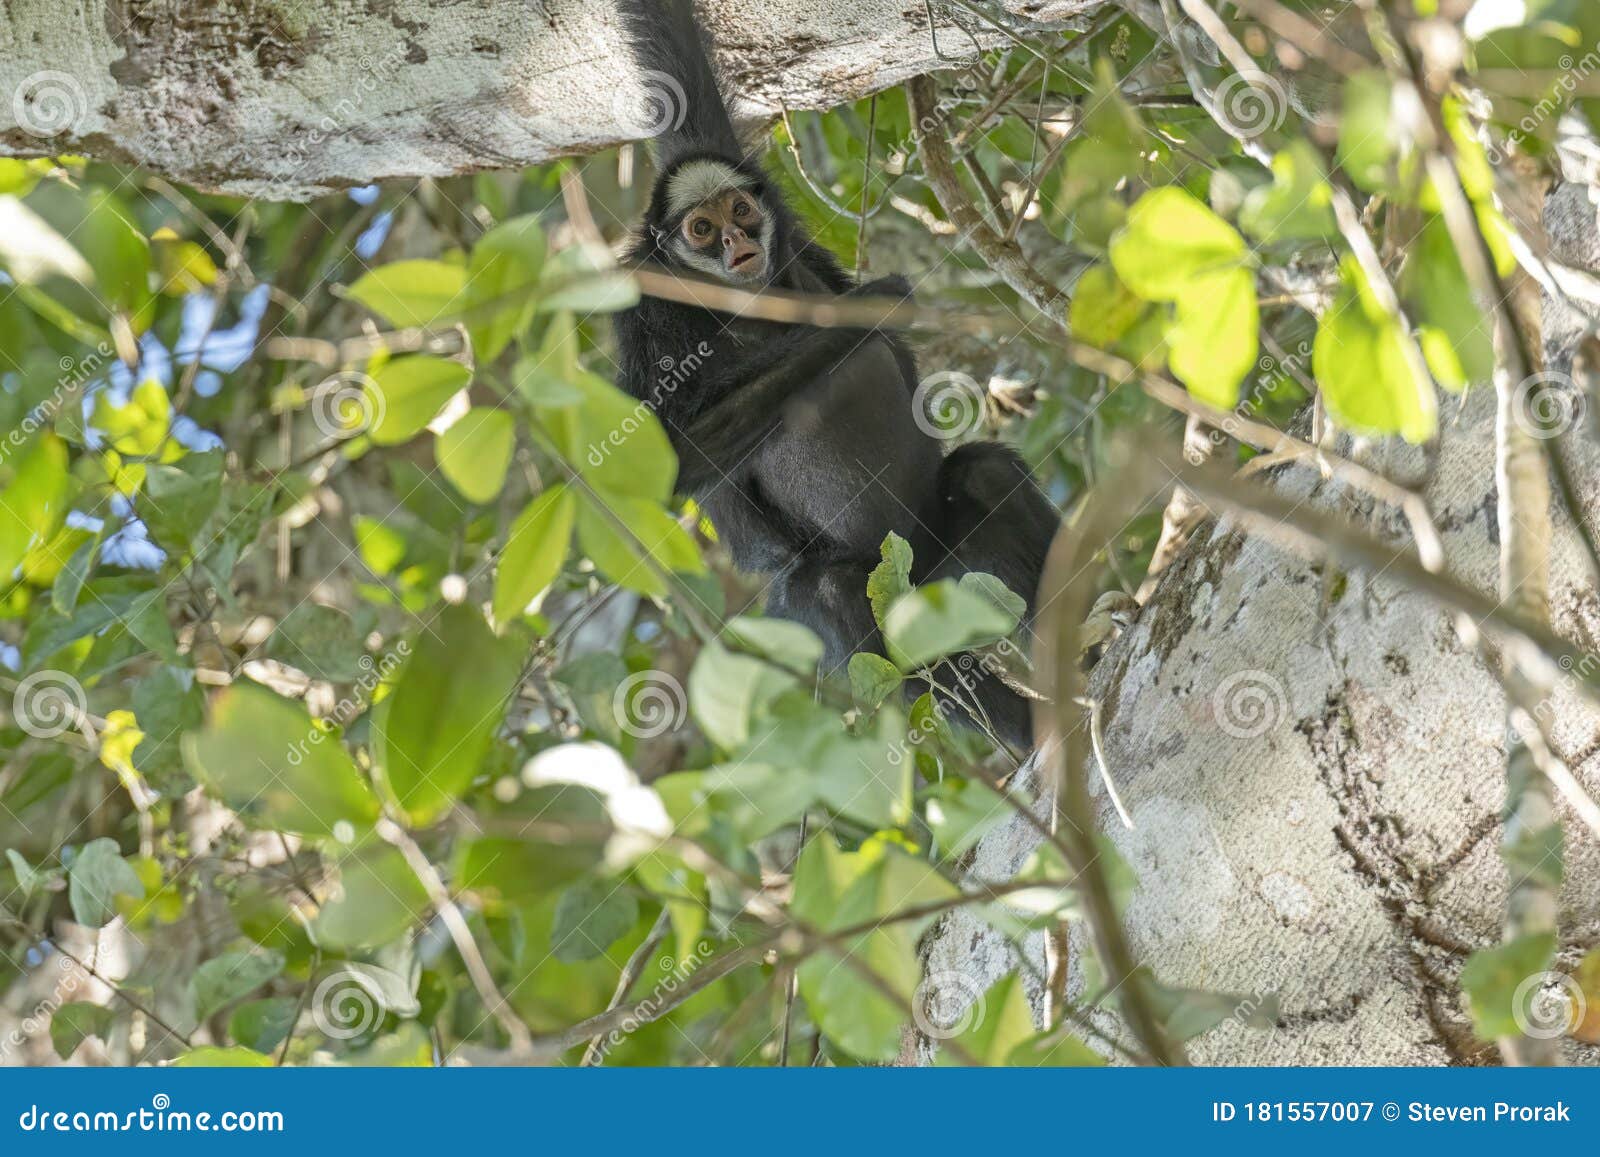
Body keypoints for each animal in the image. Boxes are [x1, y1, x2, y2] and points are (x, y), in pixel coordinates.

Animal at [611, 0, 1062, 752]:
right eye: (701, 230)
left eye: (740, 212)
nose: (736, 244)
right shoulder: (648, 310)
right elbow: (663, 459)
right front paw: (863, 310)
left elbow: (678, 68)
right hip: (875, 583)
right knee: (835, 592)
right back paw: (1027, 733)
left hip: (950, 562)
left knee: (984, 474)